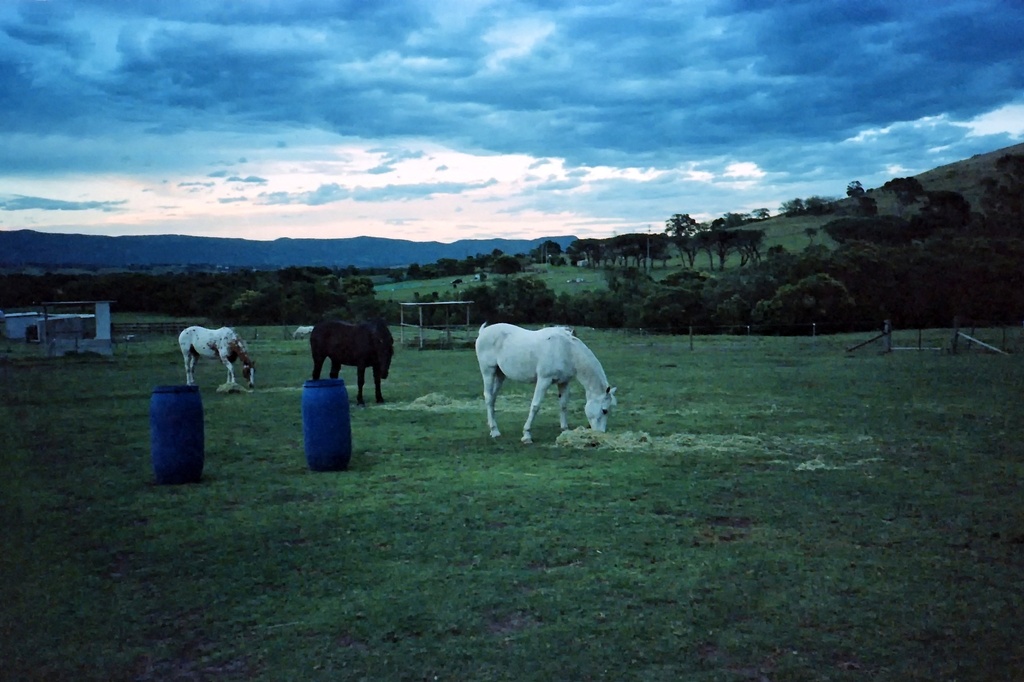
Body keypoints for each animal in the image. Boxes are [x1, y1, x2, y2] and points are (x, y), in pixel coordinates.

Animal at [473, 321, 614, 444]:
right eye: (604, 410)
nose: (600, 433)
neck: (566, 349)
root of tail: (483, 331)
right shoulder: (544, 380)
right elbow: (535, 406)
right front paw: (527, 435)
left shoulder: (564, 382)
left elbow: (563, 404)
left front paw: (564, 429)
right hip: (488, 371)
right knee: (489, 397)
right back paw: (495, 431)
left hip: (500, 375)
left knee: (493, 399)